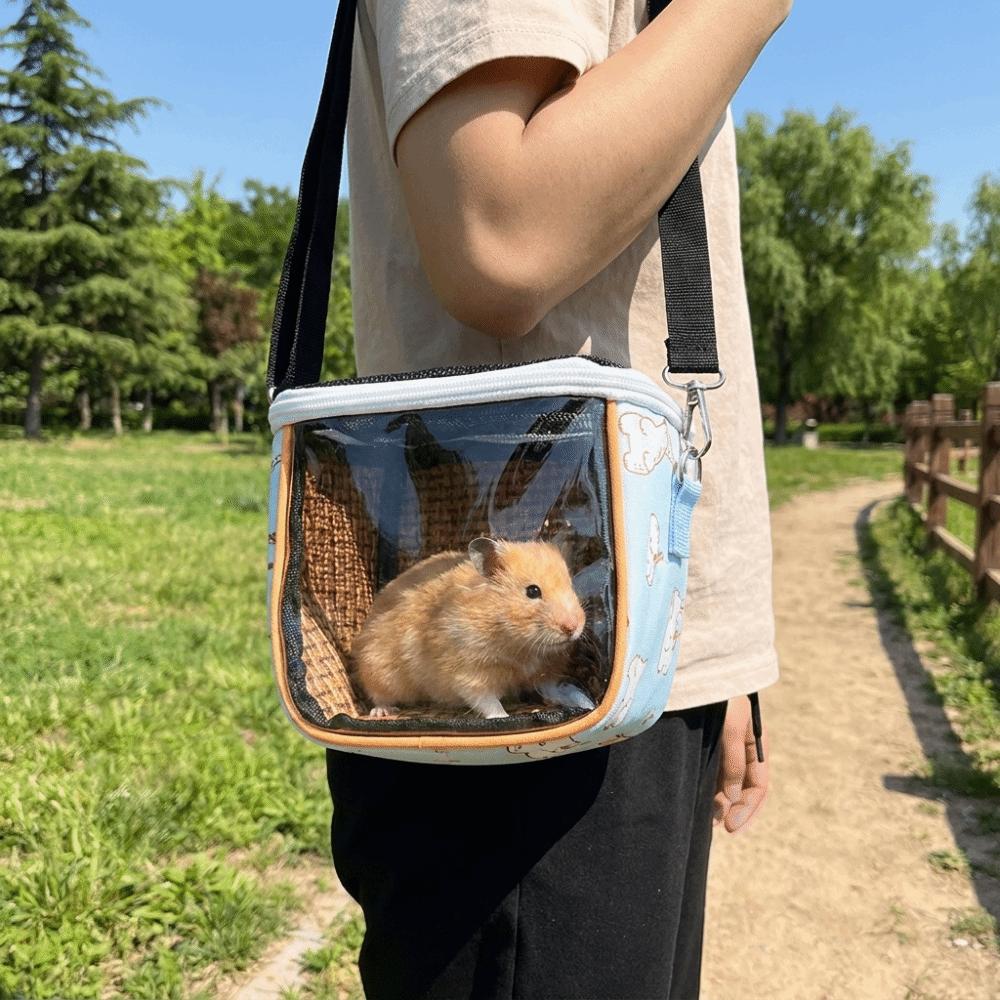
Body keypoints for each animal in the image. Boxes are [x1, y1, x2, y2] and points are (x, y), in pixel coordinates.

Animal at [350, 537, 594, 719]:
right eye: (532, 591)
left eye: (571, 587)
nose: (573, 628)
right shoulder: (469, 674)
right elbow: (488, 703)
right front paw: (503, 718)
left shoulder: (544, 672)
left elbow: (557, 688)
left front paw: (587, 704)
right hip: (378, 670)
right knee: (377, 694)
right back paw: (382, 712)